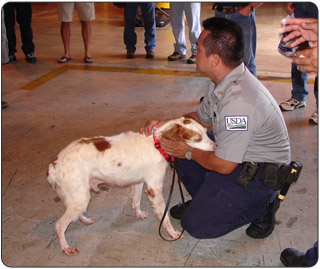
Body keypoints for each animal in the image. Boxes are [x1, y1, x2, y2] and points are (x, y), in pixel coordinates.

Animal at [47, 116, 215, 254]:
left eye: (206, 132)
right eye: (198, 138)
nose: (215, 147)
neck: (156, 144)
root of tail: (55, 163)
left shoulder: (139, 182)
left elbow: (136, 201)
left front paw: (138, 214)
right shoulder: (154, 188)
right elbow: (164, 216)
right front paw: (172, 233)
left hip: (80, 196)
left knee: (77, 214)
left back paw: (86, 221)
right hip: (80, 197)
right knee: (59, 225)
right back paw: (66, 248)